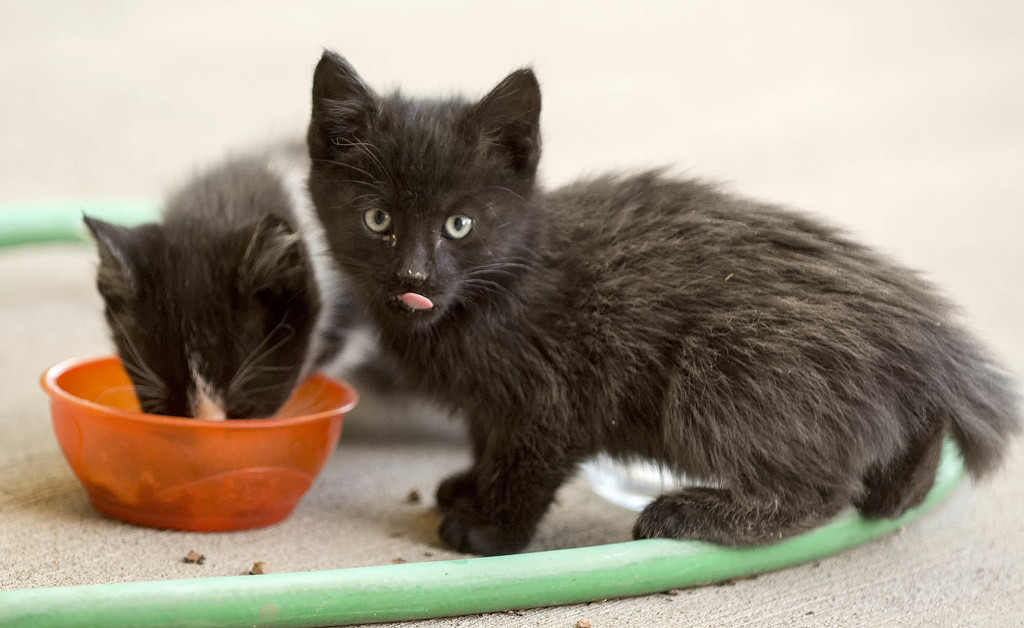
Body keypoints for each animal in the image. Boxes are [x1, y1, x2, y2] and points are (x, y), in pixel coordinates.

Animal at [307, 52, 1019, 553]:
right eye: (377, 218)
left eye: (459, 224)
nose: (414, 274)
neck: (496, 291)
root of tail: (919, 333)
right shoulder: (494, 402)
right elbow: (488, 439)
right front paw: (469, 488)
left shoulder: (557, 392)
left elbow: (529, 458)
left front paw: (491, 532)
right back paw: (902, 484)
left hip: (724, 360)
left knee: (823, 491)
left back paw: (691, 511)